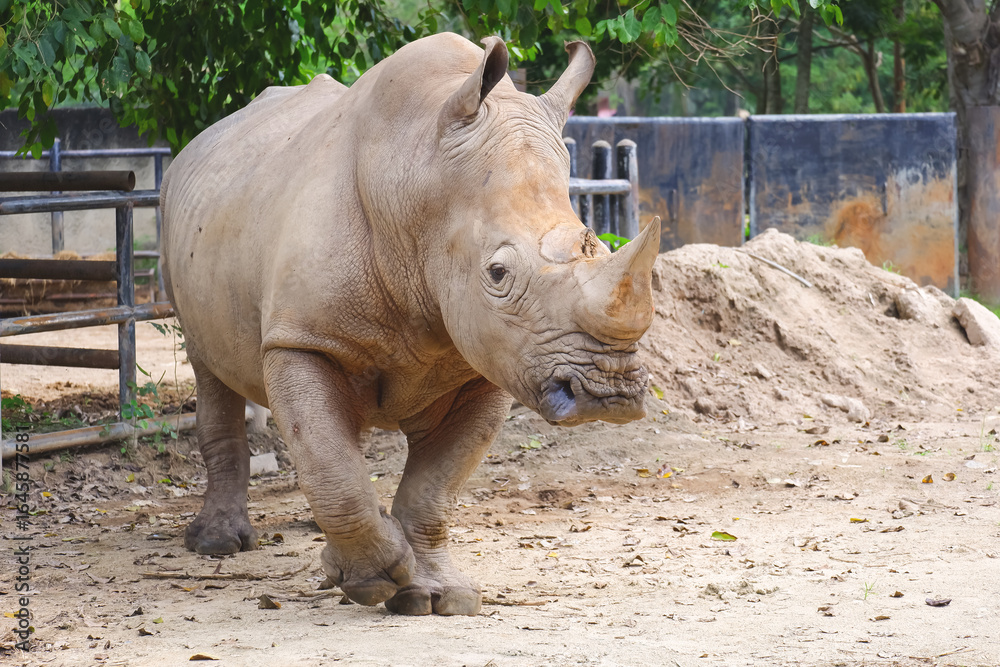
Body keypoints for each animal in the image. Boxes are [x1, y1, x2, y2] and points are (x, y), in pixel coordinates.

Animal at [160, 32, 660, 616]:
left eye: (597, 247)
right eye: (497, 273)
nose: (610, 393)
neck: (420, 181)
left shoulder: (489, 356)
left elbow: (433, 485)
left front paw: (440, 596)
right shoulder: (302, 340)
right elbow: (331, 461)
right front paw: (374, 581)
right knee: (209, 367)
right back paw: (218, 545)